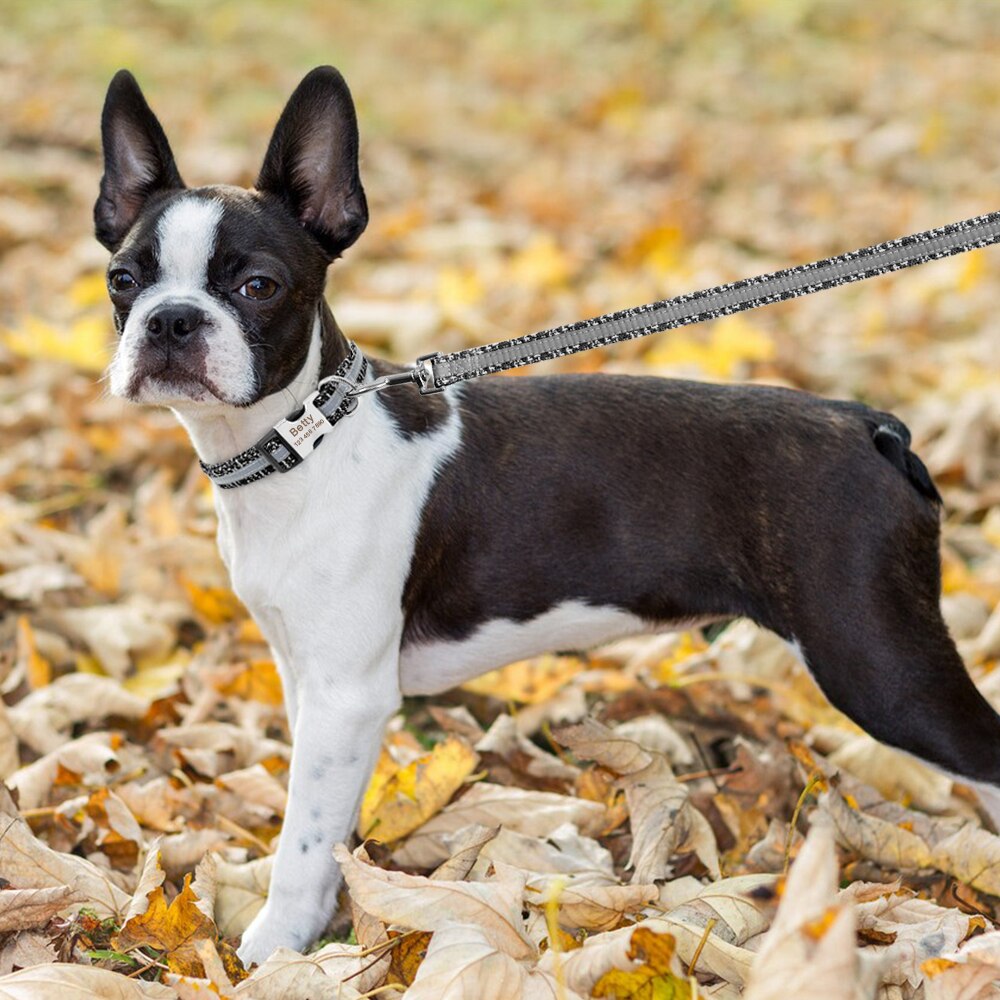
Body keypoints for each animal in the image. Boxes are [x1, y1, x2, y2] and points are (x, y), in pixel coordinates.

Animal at [94, 68, 1000, 960]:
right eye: (123, 281)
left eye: (258, 287)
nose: (172, 320)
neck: (304, 437)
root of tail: (871, 427)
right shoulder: (308, 679)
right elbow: (326, 818)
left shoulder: (347, 695)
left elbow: (303, 839)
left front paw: (275, 948)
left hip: (878, 663)